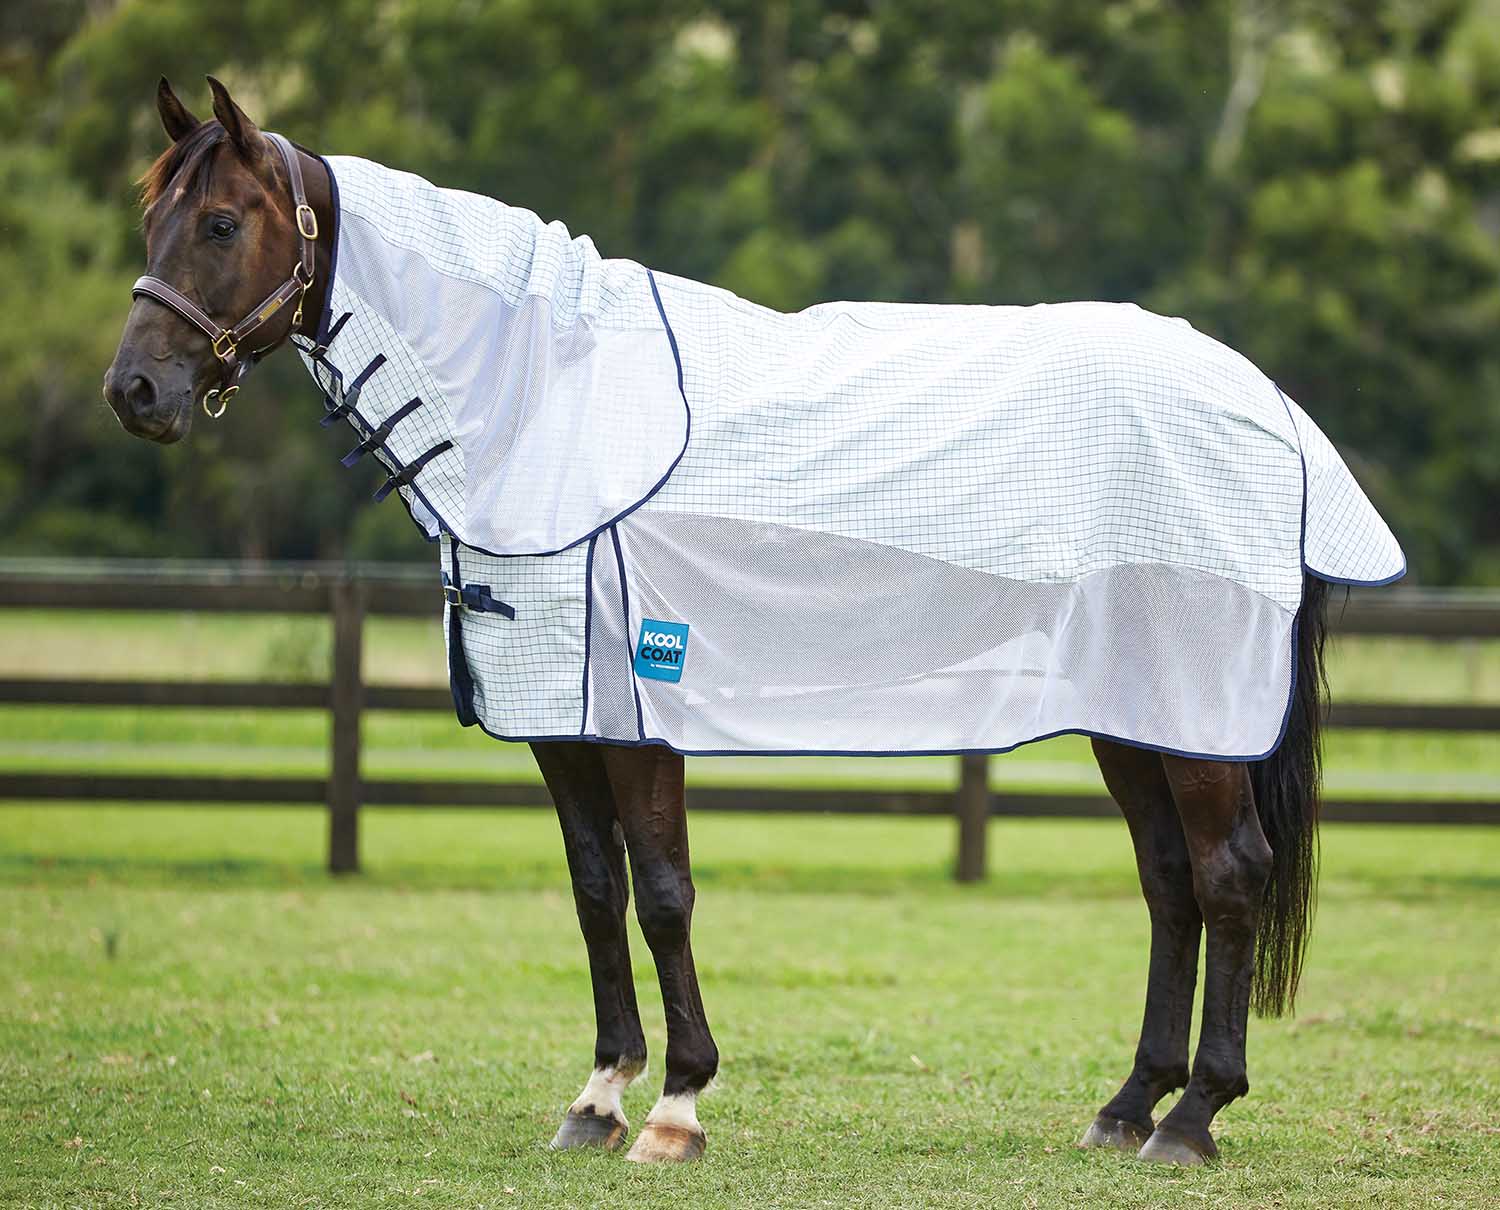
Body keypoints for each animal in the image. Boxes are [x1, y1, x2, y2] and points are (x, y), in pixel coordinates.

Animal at [104, 76, 1371, 1167]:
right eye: (150, 216)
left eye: (221, 222)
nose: (136, 394)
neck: (549, 402)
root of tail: (1269, 407)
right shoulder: (560, 719)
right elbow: (597, 892)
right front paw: (598, 1096)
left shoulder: (637, 715)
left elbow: (666, 894)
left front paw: (677, 1106)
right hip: (1138, 715)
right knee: (1169, 880)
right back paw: (1128, 1105)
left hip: (1198, 717)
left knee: (1229, 875)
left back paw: (1193, 1118)